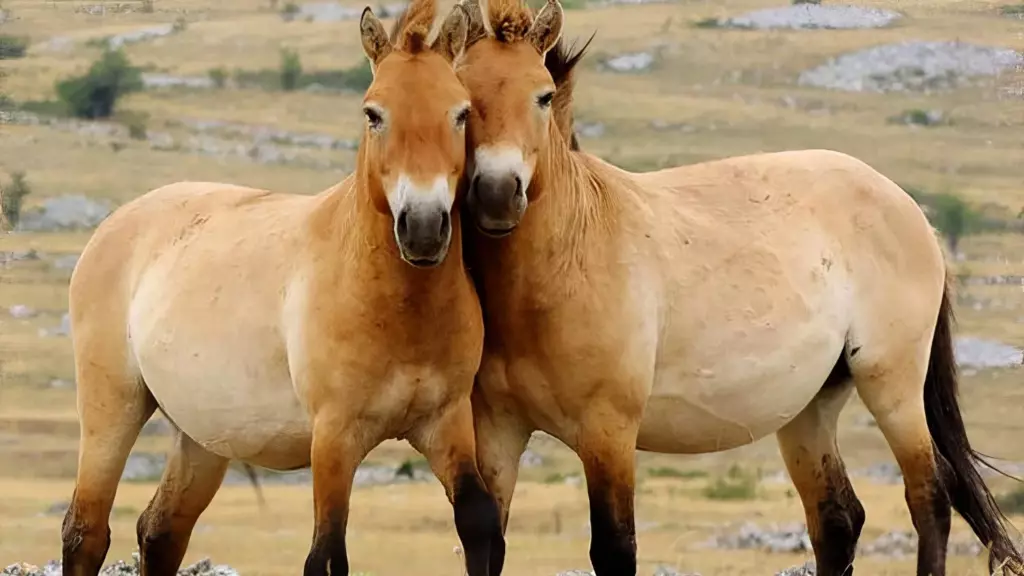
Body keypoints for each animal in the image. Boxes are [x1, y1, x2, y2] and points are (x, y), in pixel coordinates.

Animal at [59, 3, 505, 575]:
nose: (423, 227)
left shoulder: (444, 422)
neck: (396, 307)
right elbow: (326, 555)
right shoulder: (334, 438)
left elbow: (480, 524)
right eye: (373, 114)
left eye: (462, 112)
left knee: (160, 531)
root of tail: (114, 223)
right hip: (112, 408)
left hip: (202, 438)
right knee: (86, 532)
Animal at [452, 0, 1024, 574]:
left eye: (543, 95)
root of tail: (909, 208)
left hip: (893, 386)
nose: (497, 194)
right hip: (810, 407)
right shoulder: (498, 432)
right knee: (838, 519)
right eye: (463, 99)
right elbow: (488, 541)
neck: (569, 258)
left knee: (930, 494)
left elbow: (614, 547)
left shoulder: (608, 433)